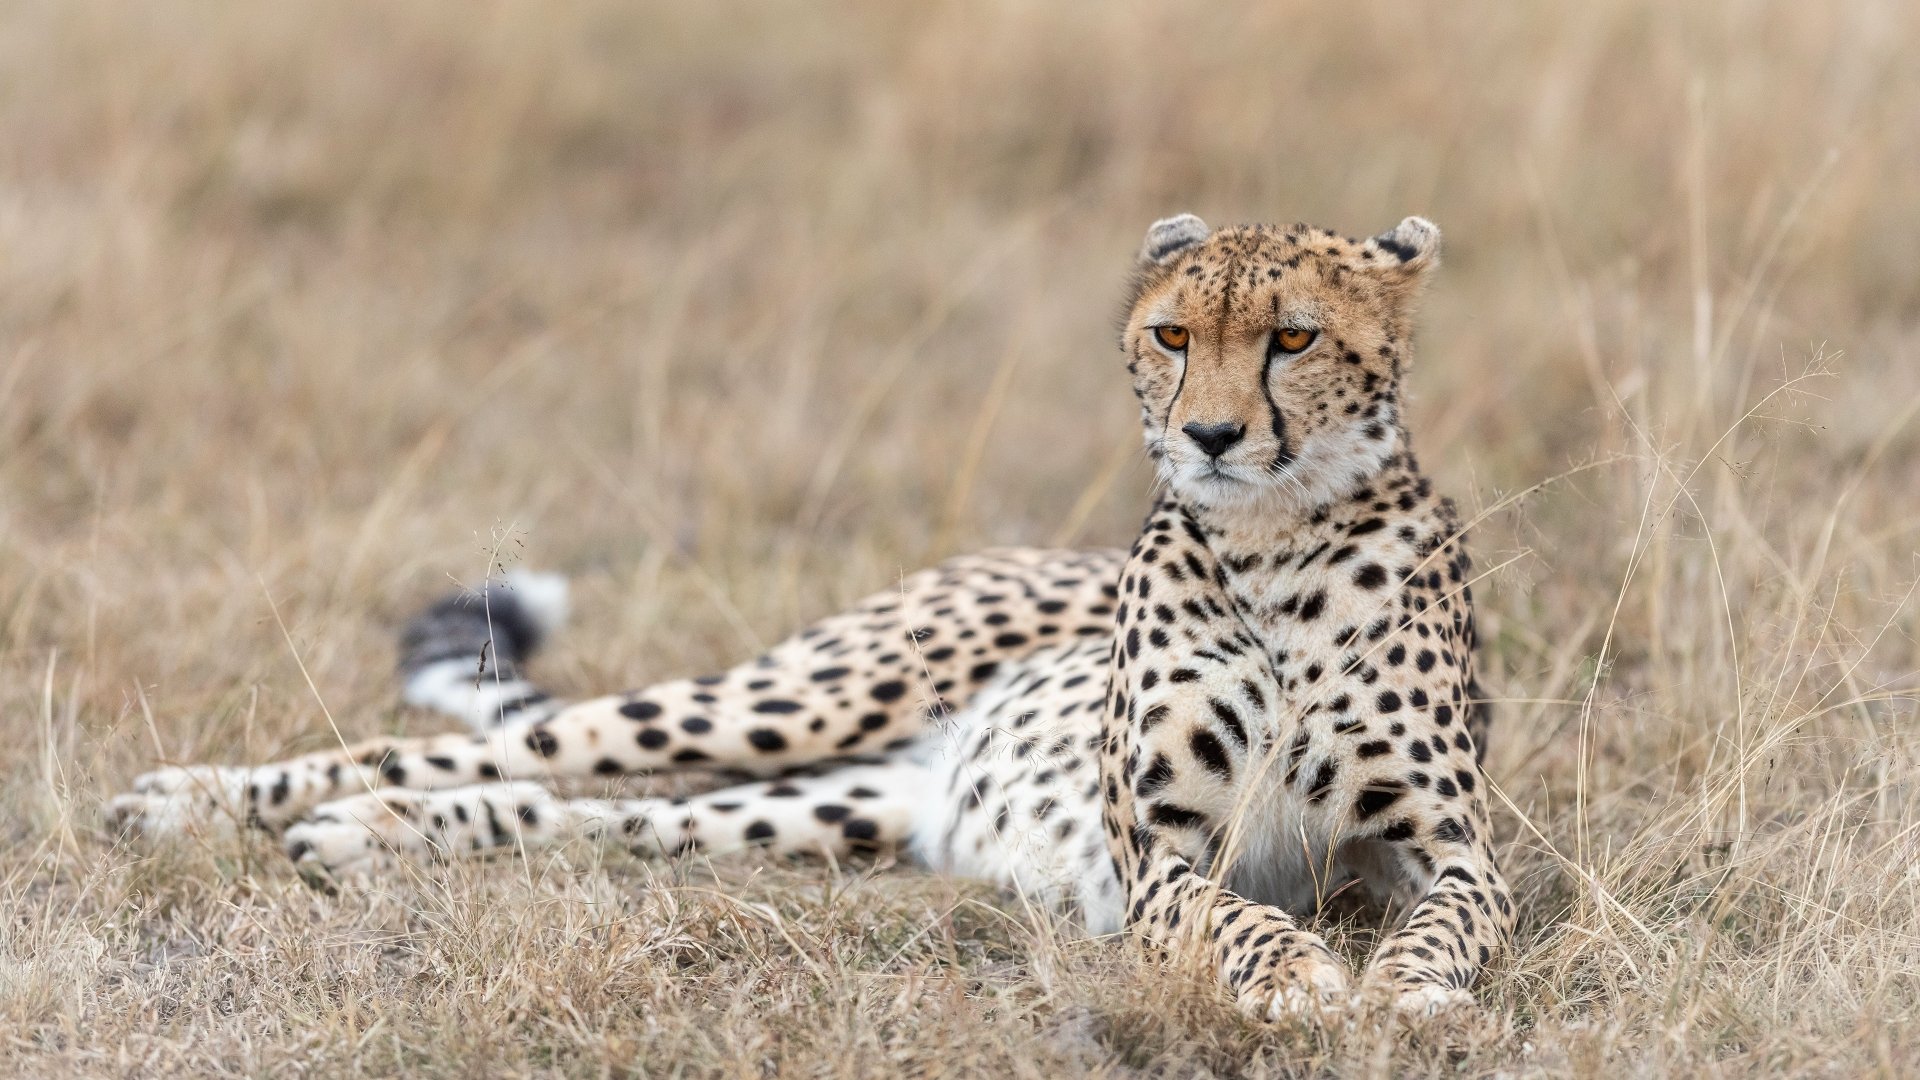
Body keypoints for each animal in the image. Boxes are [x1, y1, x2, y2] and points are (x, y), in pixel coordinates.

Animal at [108, 213, 1513, 1019]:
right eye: (1172, 335)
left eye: (1293, 338)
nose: (1211, 437)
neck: (1275, 543)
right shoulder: (1159, 851)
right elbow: (1236, 913)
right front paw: (1298, 977)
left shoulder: (1453, 846)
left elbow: (1452, 915)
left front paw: (1405, 985)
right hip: (808, 698)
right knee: (482, 744)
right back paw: (192, 802)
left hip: (844, 804)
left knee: (596, 813)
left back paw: (372, 834)